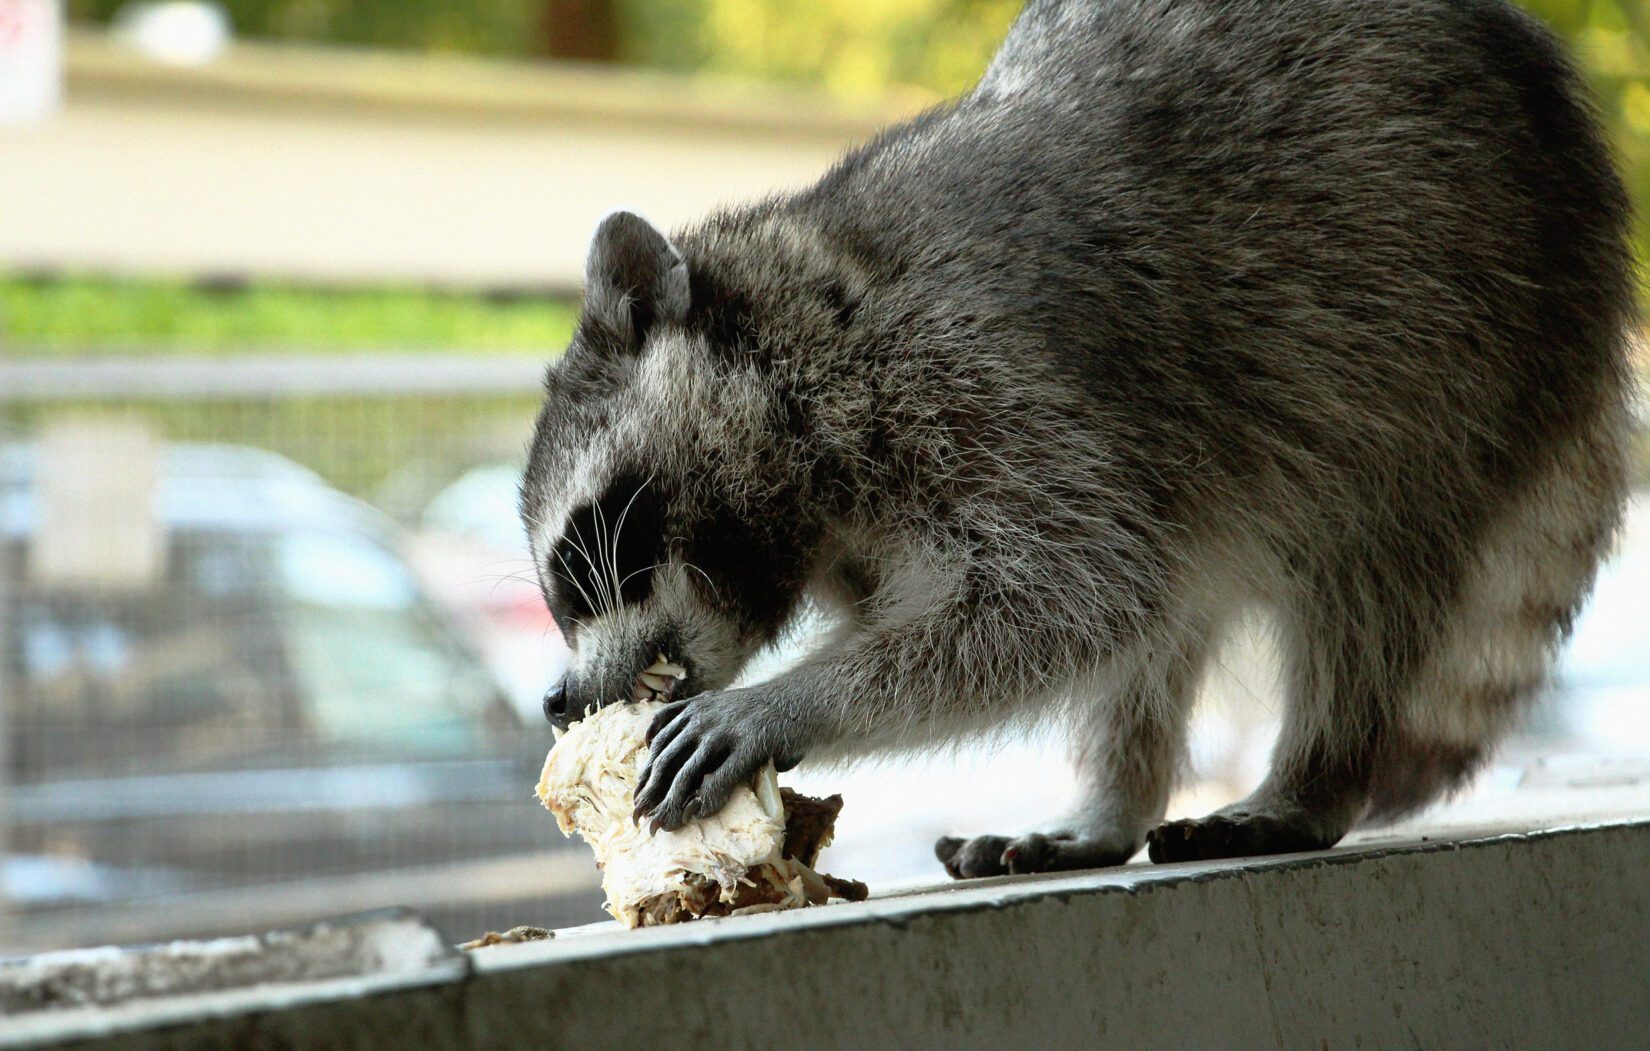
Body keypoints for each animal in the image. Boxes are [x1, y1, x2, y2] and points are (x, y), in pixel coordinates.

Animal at [518, 0, 1636, 871]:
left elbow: (1073, 592)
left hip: (1461, 344)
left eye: (581, 552)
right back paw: (1116, 800)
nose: (558, 699)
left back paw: (1315, 776)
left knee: (1362, 570)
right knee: (1172, 605)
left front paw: (791, 701)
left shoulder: (964, 372)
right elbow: (1096, 609)